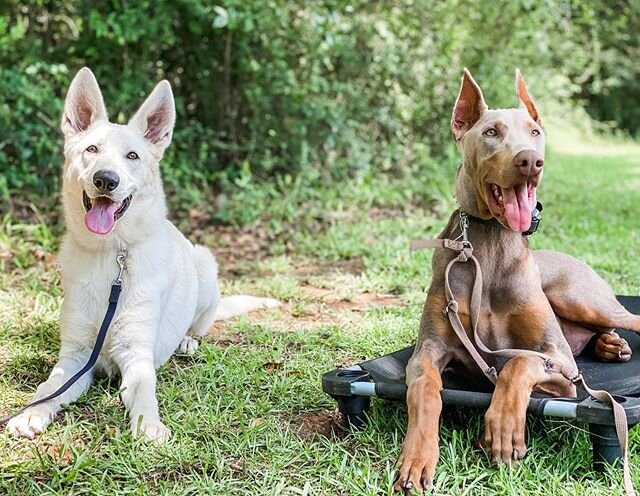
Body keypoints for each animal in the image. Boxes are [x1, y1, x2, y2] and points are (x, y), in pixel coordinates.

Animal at [5, 67, 280, 442]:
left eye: (132, 156)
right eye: (92, 149)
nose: (106, 180)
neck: (112, 256)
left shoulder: (136, 357)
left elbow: (146, 393)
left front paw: (149, 426)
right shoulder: (76, 358)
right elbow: (50, 386)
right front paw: (32, 413)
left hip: (206, 267)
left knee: (199, 325)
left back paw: (187, 342)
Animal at [396, 69, 640, 492]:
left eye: (535, 131)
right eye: (491, 132)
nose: (530, 161)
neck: (490, 241)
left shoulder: (560, 362)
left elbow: (519, 364)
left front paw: (503, 429)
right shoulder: (428, 349)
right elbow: (425, 388)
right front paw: (415, 458)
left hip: (577, 296)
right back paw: (610, 346)